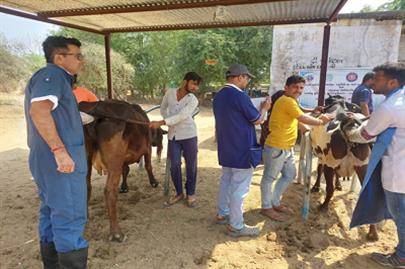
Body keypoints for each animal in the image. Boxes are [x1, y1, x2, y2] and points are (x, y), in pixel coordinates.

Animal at [78, 99, 159, 241]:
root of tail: (96, 108)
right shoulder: (147, 147)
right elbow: (148, 166)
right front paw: (153, 182)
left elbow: (125, 170)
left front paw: (124, 186)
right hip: (114, 159)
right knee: (109, 190)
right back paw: (116, 233)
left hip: (86, 158)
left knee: (86, 186)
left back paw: (85, 219)